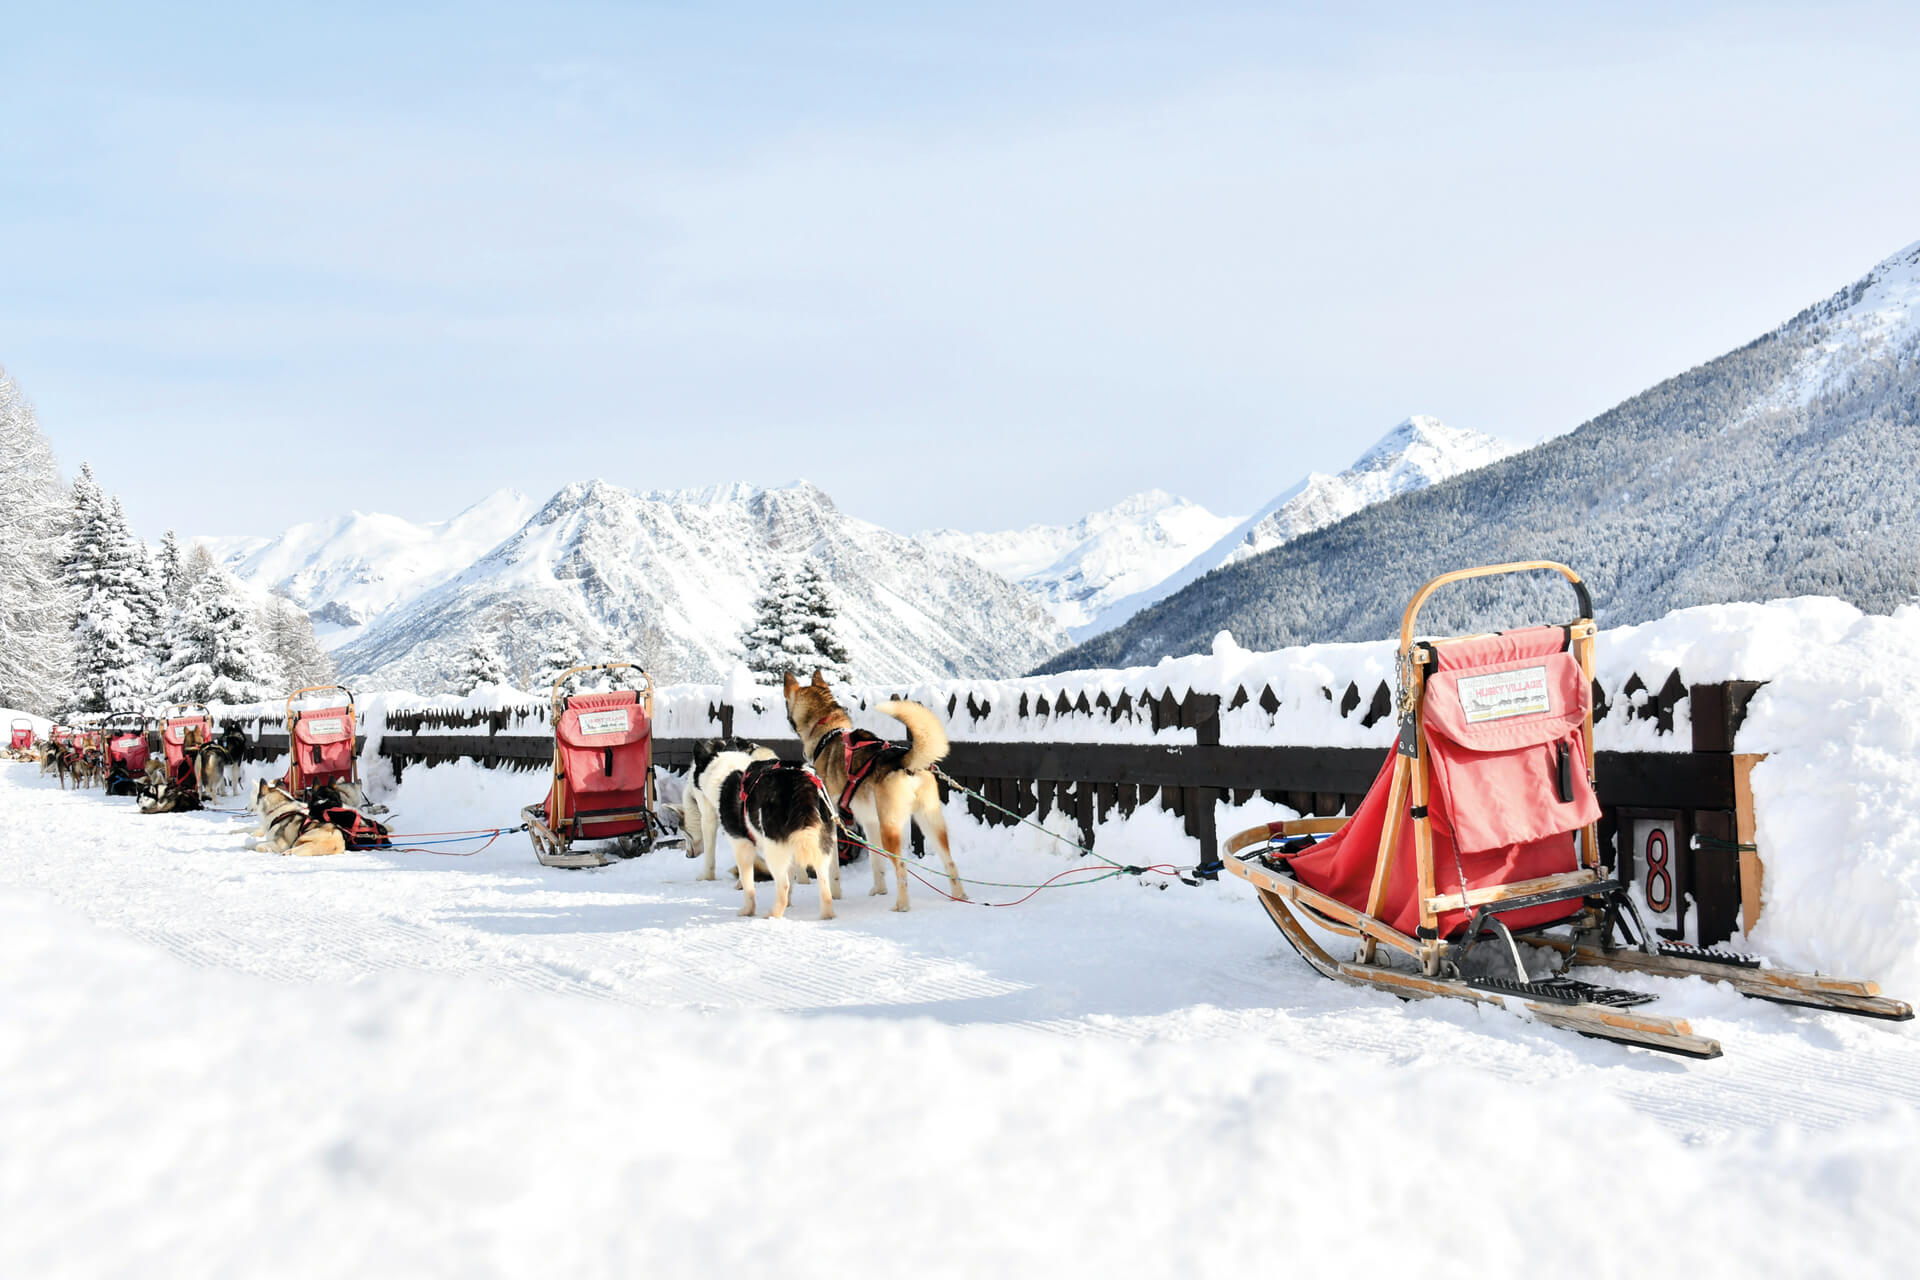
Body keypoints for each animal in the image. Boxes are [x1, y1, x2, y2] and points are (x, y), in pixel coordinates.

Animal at [721, 756, 840, 924]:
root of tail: (802, 781)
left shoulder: (741, 845)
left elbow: (748, 885)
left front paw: (747, 910)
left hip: (773, 849)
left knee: (783, 885)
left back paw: (773, 914)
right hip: (821, 848)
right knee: (823, 885)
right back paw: (827, 914)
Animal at [779, 671, 960, 909]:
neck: (828, 732)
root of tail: (904, 760)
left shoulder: (833, 823)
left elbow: (833, 870)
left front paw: (835, 895)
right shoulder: (870, 822)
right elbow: (877, 864)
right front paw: (879, 891)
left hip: (890, 829)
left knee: (902, 869)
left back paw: (902, 905)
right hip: (930, 823)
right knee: (950, 862)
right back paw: (960, 897)